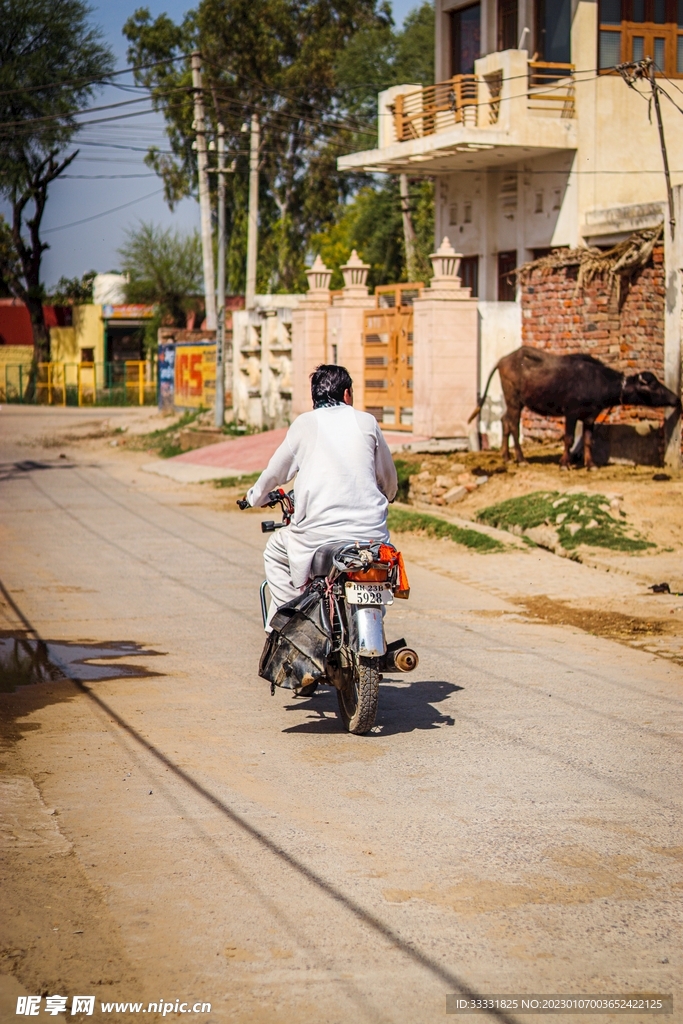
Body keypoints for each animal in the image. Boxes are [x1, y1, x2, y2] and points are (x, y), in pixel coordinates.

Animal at [473, 346, 679, 468]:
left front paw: (591, 465)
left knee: (504, 421)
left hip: (514, 403)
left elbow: (588, 440)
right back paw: (522, 460)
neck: (597, 381)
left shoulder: (590, 417)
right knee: (514, 427)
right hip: (514, 401)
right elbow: (569, 439)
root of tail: (503, 361)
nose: (676, 399)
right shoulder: (570, 414)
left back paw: (506, 457)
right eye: (653, 385)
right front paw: (565, 463)